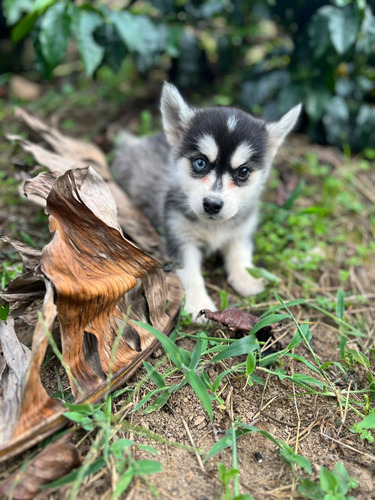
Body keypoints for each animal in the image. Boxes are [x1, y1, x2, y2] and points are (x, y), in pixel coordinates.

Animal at [112, 80, 302, 318]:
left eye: (243, 171)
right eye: (200, 163)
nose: (212, 204)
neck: (214, 227)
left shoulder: (242, 230)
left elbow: (240, 253)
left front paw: (246, 278)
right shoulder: (180, 238)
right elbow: (190, 274)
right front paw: (198, 305)